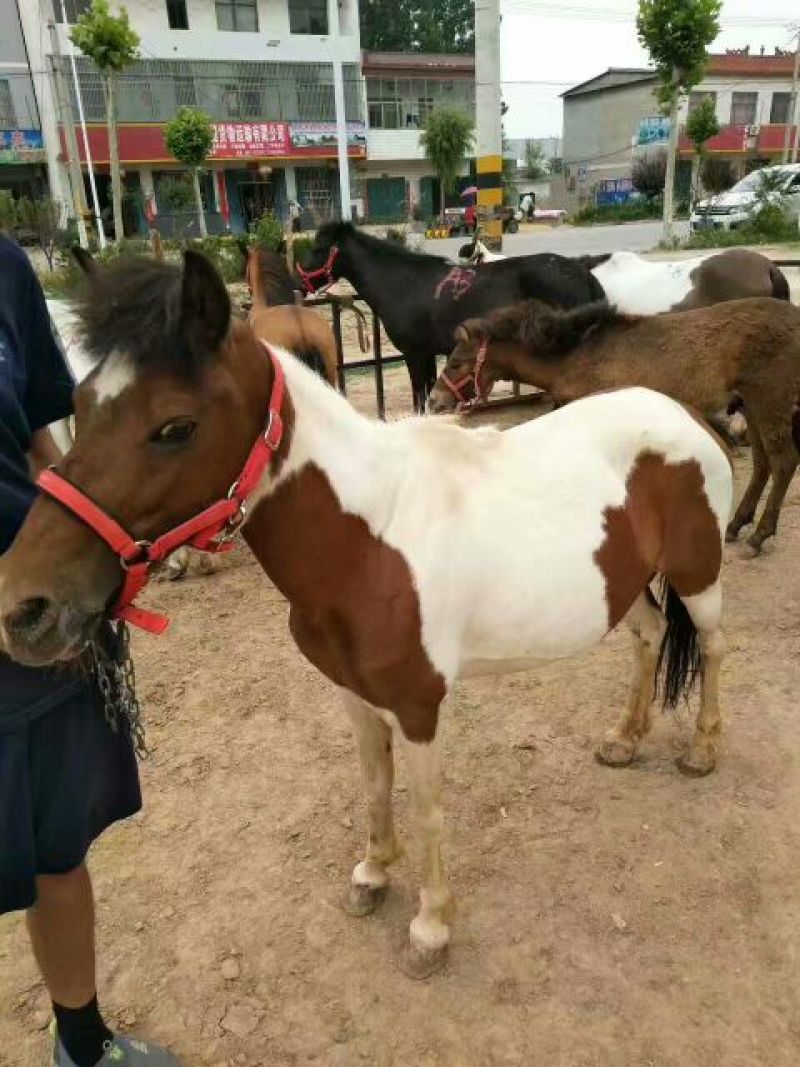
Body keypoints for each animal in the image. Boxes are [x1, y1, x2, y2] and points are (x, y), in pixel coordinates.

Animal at [0, 252, 732, 978]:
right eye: (78, 405)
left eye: (175, 427)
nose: (25, 607)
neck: (369, 538)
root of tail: (684, 415)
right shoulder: (353, 693)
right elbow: (376, 784)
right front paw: (374, 874)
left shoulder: (418, 704)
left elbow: (428, 809)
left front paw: (431, 928)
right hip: (627, 589)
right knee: (650, 637)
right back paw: (625, 739)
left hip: (699, 578)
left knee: (714, 648)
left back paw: (700, 750)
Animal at [298, 221, 604, 412]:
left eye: (318, 248)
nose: (298, 281)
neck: (403, 283)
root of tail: (582, 272)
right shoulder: (429, 353)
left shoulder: (415, 353)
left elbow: (419, 398)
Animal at [428, 295, 800, 555]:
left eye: (456, 363)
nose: (433, 402)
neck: (576, 355)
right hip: (752, 406)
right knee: (763, 463)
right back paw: (737, 524)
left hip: (770, 402)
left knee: (783, 462)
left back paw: (759, 535)